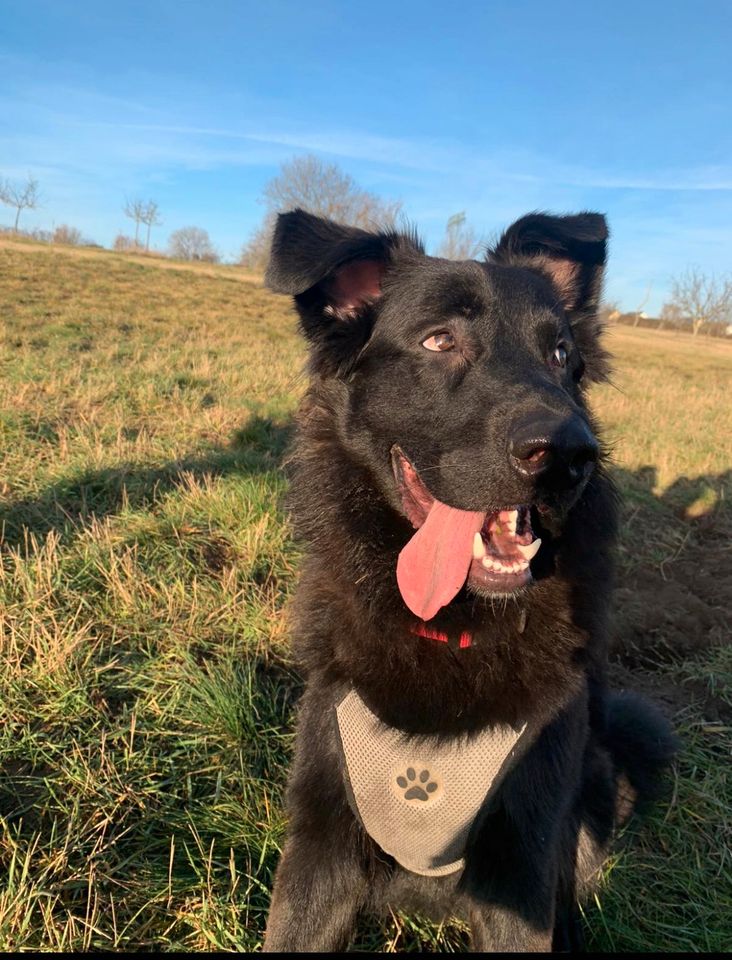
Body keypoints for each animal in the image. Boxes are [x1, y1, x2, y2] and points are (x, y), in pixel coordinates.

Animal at [262, 208, 676, 952]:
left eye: (561, 355)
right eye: (439, 341)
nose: (567, 453)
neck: (448, 631)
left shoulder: (524, 864)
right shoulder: (319, 844)